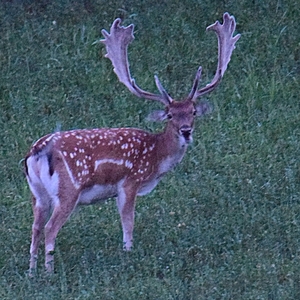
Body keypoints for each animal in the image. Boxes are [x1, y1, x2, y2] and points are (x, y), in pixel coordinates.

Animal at [24, 12, 240, 274]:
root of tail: (36, 152)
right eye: (169, 115)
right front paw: (128, 255)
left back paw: (32, 272)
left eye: (193, 112)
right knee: (50, 228)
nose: (186, 131)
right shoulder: (130, 181)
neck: (156, 158)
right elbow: (128, 224)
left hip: (37, 193)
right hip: (68, 189)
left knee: (35, 227)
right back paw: (49, 271)